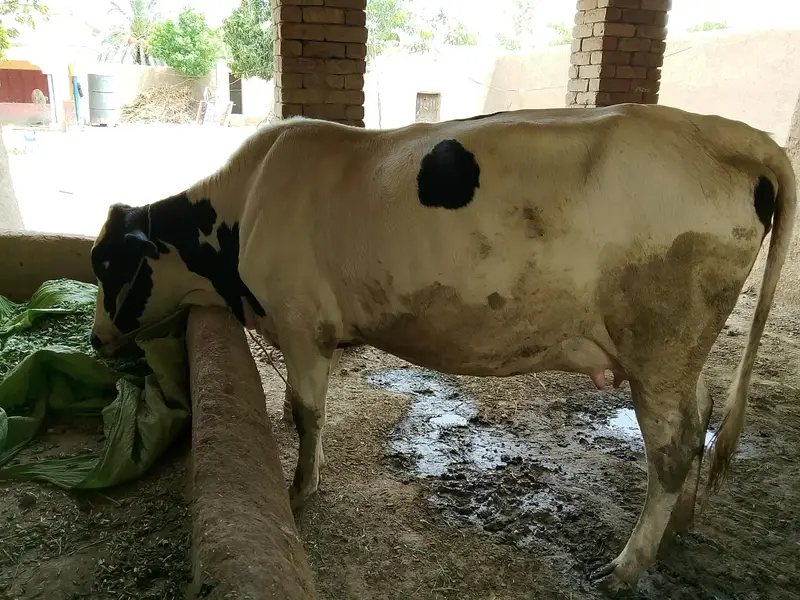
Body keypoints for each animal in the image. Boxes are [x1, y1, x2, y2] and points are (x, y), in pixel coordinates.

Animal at [88, 103, 796, 590]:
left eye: (110, 266)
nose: (96, 339)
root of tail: (725, 130)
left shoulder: (301, 322)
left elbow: (310, 413)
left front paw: (301, 487)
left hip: (658, 344)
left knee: (672, 451)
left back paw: (626, 565)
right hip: (676, 353)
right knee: (700, 418)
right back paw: (677, 526)